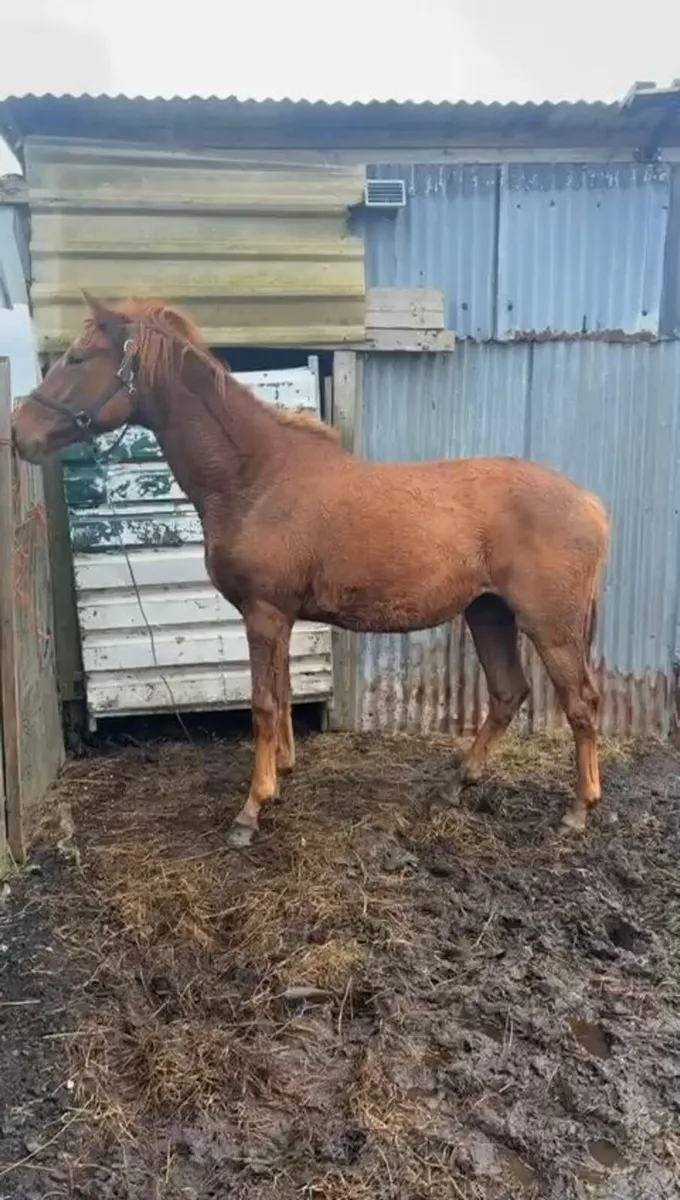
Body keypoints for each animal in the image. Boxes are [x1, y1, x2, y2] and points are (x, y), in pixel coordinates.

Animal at [12, 293, 610, 848]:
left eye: (78, 357)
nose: (20, 432)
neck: (254, 477)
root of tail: (589, 502)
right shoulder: (277, 618)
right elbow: (280, 695)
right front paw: (281, 776)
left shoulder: (263, 614)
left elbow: (261, 705)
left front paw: (250, 811)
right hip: (488, 613)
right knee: (509, 694)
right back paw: (454, 786)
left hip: (549, 626)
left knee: (580, 702)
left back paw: (578, 810)